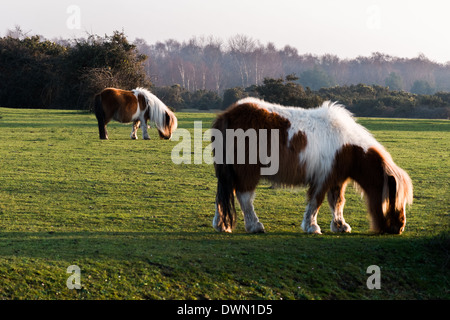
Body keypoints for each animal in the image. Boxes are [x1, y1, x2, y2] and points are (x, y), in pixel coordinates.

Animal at [213, 97, 414, 235]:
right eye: (393, 199)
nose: (399, 227)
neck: (347, 146)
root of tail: (228, 115)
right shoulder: (322, 178)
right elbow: (316, 202)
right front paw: (312, 227)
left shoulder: (336, 180)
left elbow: (337, 202)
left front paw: (340, 225)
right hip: (248, 173)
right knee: (245, 197)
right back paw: (254, 226)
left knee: (224, 195)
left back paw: (221, 225)